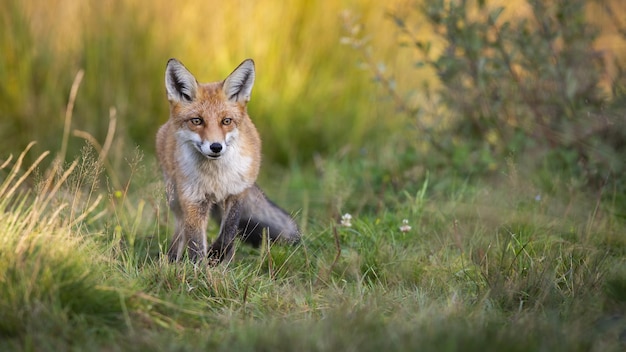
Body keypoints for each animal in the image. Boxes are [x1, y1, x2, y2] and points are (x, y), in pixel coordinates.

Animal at [157, 59, 302, 264]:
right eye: (197, 121)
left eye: (226, 121)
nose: (216, 147)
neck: (216, 176)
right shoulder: (193, 198)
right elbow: (195, 241)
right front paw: (198, 268)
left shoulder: (236, 193)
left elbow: (229, 231)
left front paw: (216, 254)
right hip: (174, 196)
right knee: (180, 228)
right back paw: (171, 260)